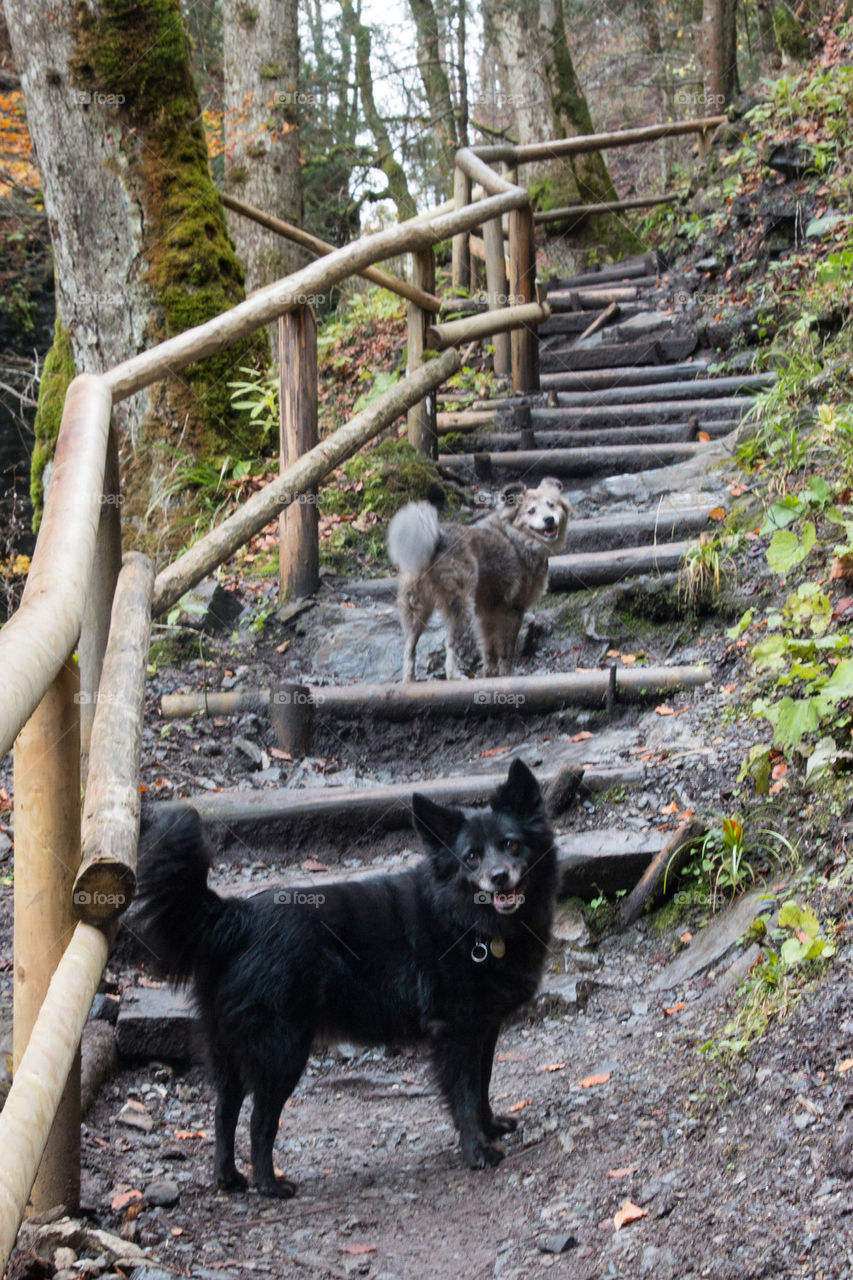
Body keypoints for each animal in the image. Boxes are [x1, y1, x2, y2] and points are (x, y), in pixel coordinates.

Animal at [135, 752, 555, 1192]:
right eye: (471, 857)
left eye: (510, 844)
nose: (498, 877)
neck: (467, 922)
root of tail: (238, 916)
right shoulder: (455, 1035)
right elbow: (466, 1096)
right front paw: (478, 1150)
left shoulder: (484, 1030)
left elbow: (484, 1082)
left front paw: (491, 1127)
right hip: (281, 1051)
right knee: (259, 1122)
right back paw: (269, 1184)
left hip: (231, 1051)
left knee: (223, 1112)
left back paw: (229, 1178)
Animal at [389, 478, 568, 680]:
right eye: (531, 511)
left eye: (551, 505)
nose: (549, 519)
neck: (518, 537)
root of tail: (436, 539)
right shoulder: (514, 609)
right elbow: (507, 650)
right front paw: (507, 674)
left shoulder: (486, 613)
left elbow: (489, 649)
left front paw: (490, 674)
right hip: (461, 605)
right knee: (449, 643)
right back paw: (454, 675)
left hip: (417, 609)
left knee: (409, 647)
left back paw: (409, 680)